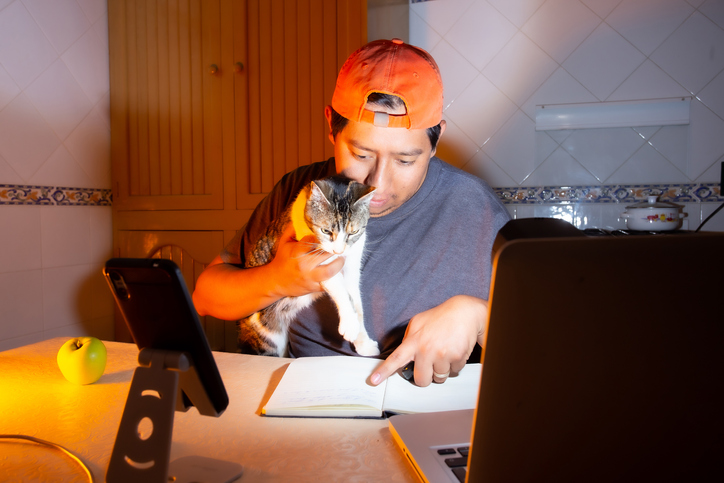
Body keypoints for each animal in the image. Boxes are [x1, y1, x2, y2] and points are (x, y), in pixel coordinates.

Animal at [238, 176, 382, 358]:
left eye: (353, 232)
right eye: (325, 230)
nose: (339, 251)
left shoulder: (352, 266)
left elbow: (357, 304)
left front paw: (363, 342)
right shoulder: (319, 265)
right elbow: (341, 290)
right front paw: (350, 323)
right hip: (266, 336)